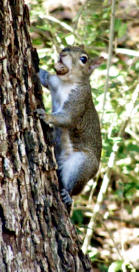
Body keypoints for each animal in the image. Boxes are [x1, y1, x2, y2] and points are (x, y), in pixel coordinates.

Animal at [36, 46, 102, 208]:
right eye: (67, 47)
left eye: (84, 59)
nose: (62, 53)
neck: (66, 83)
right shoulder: (52, 81)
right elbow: (43, 76)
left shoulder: (79, 101)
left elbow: (67, 118)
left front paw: (46, 116)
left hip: (82, 164)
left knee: (73, 187)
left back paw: (68, 195)